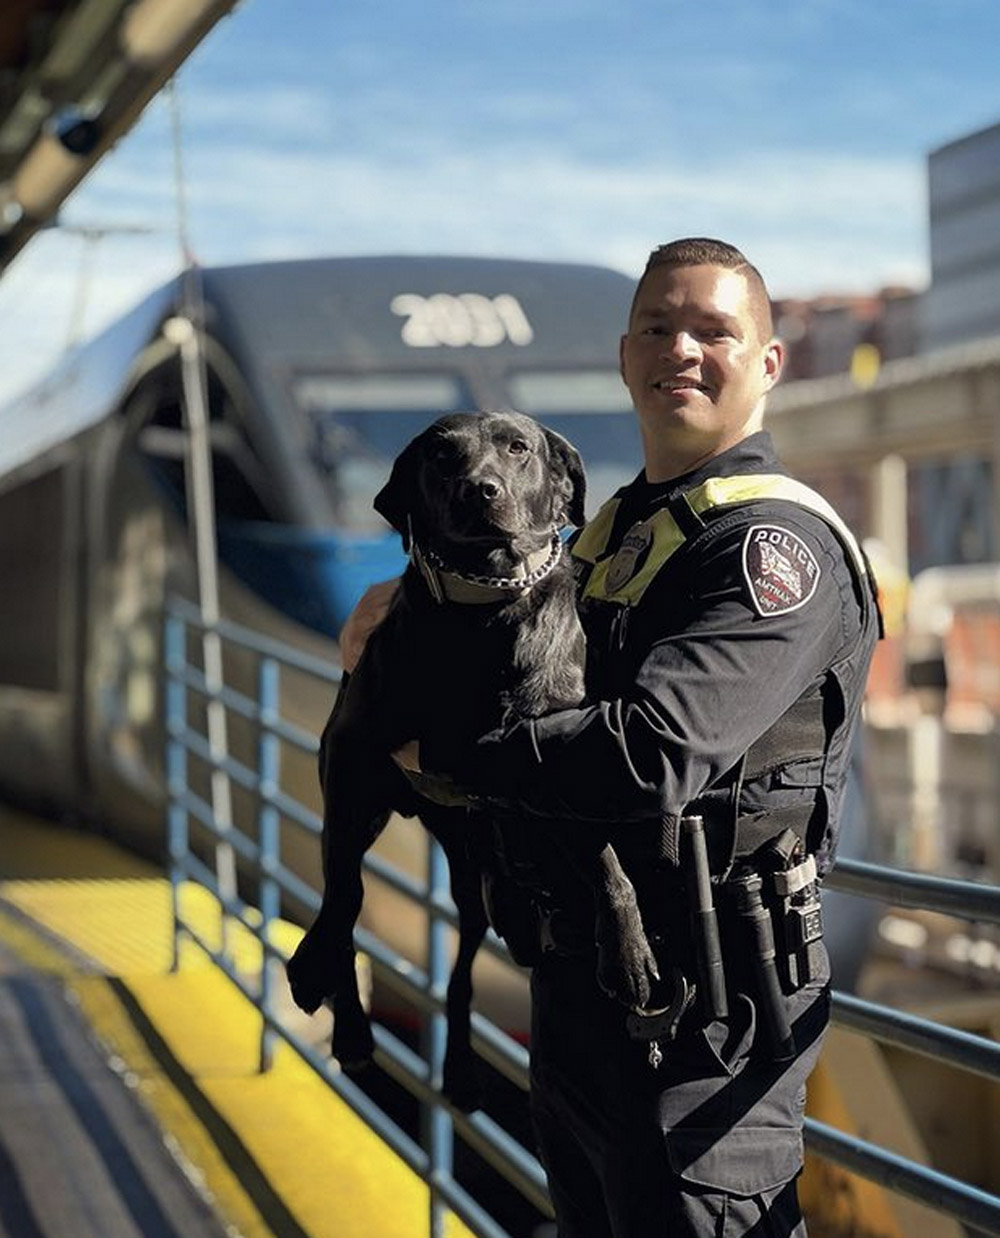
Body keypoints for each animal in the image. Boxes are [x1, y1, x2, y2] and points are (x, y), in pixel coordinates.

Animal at [283, 411, 658, 1109]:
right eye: (440, 455)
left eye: (518, 448)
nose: (477, 490)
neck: (486, 606)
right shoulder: (351, 754)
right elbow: (345, 898)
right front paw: (316, 969)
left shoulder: (566, 755)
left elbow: (608, 863)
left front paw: (627, 953)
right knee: (344, 900)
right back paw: (349, 1026)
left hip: (471, 878)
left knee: (460, 978)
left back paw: (458, 1065)